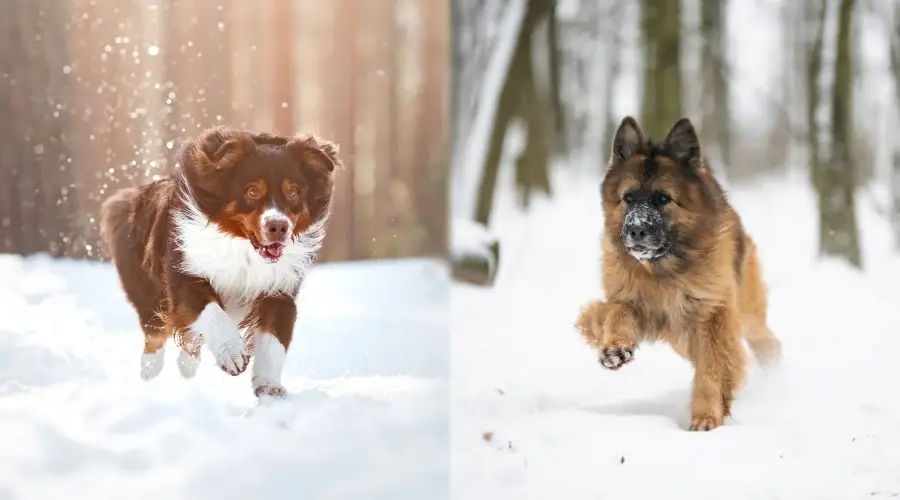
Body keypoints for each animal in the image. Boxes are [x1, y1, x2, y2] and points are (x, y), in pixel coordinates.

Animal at [99, 127, 342, 396]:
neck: (245, 250)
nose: (278, 227)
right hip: (147, 292)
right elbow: (211, 311)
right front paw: (232, 353)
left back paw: (186, 365)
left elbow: (274, 339)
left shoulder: (279, 289)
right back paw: (149, 372)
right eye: (252, 191)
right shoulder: (185, 273)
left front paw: (268, 385)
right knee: (154, 332)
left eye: (293, 191)